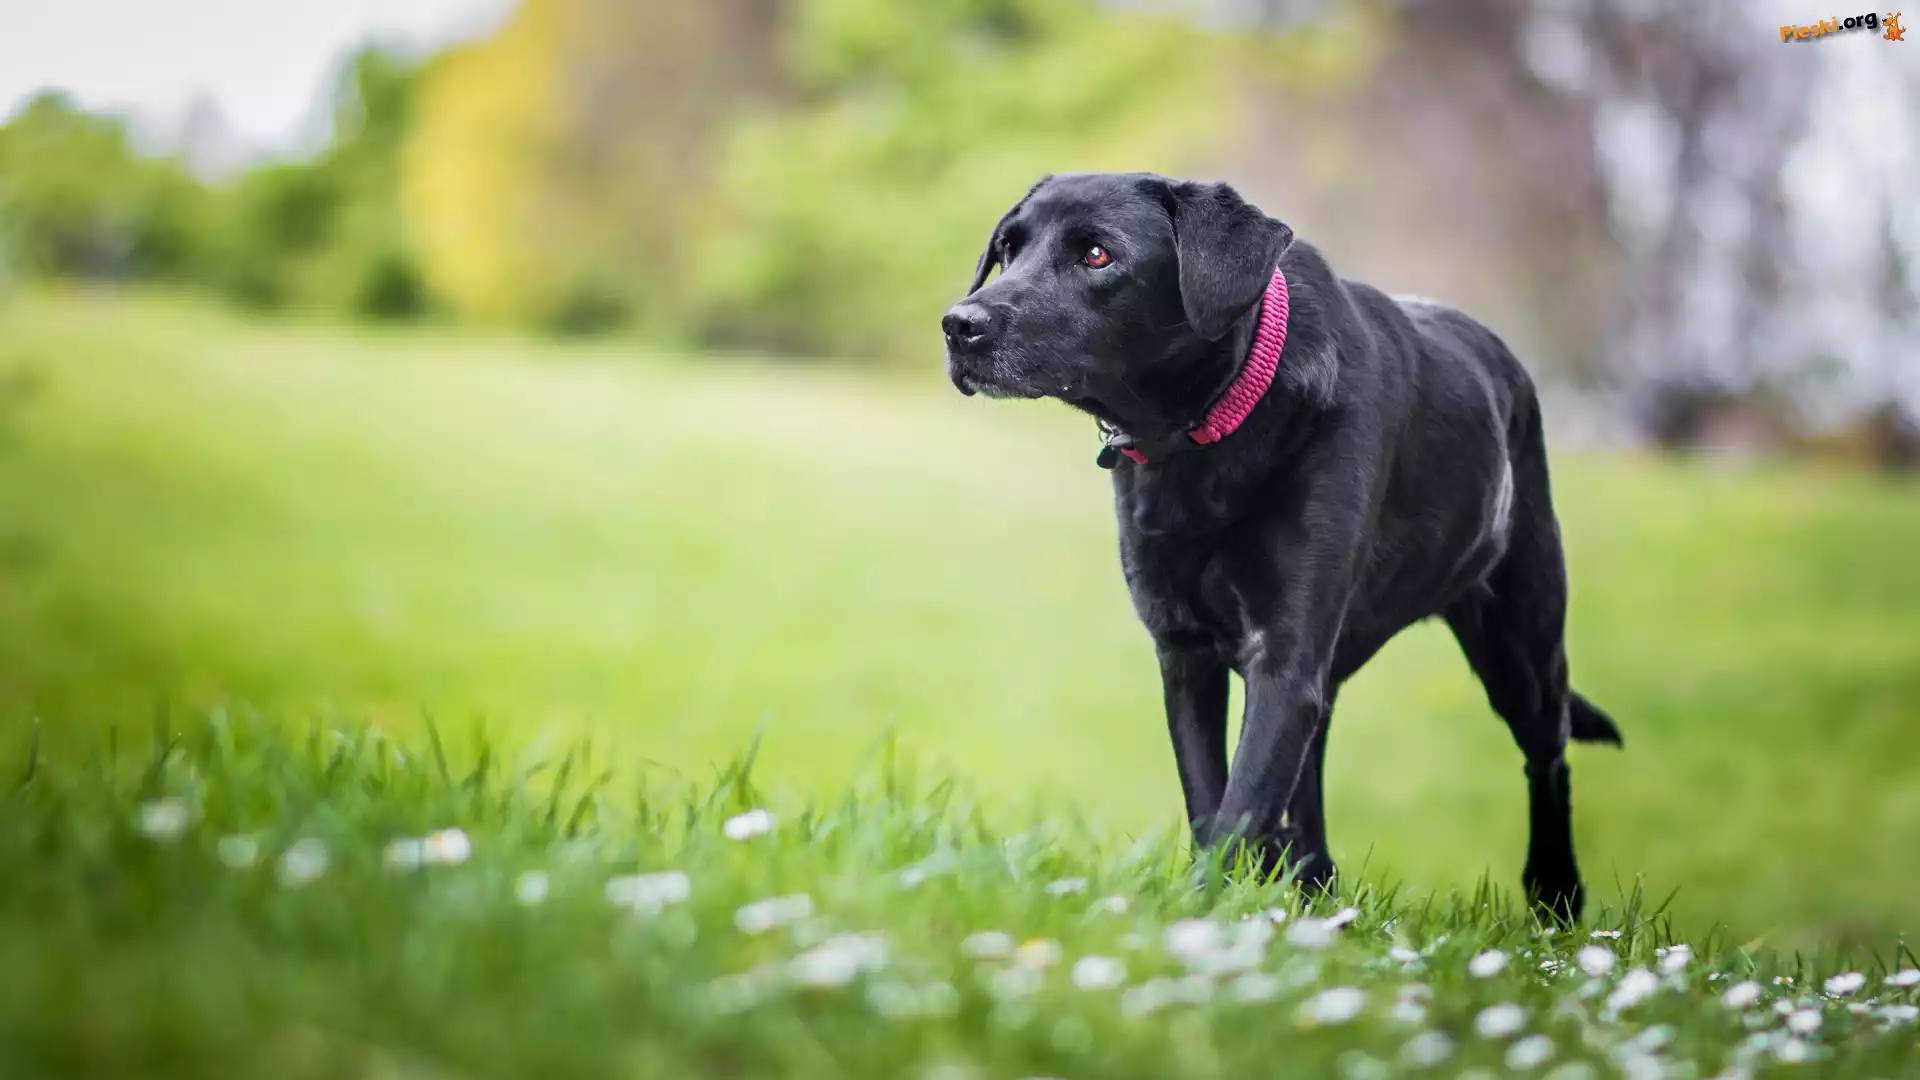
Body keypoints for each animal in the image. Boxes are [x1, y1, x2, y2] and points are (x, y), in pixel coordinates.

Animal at [942, 173, 1622, 919]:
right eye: (1008, 250)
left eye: (1097, 255)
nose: (959, 324)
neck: (1209, 431)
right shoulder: (1186, 654)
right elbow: (1212, 799)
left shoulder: (1285, 659)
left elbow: (1240, 808)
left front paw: (1203, 917)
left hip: (1521, 642)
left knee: (1548, 753)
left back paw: (1555, 896)